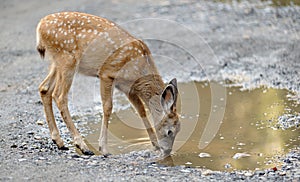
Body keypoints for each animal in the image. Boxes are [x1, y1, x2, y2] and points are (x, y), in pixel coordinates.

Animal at [36, 11, 179, 156]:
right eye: (170, 131)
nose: (167, 152)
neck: (140, 70)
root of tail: (40, 26)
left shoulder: (127, 87)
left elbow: (141, 110)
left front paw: (155, 145)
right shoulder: (107, 73)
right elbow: (108, 107)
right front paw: (104, 149)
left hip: (57, 62)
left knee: (44, 88)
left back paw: (59, 142)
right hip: (67, 59)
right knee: (59, 96)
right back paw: (82, 146)